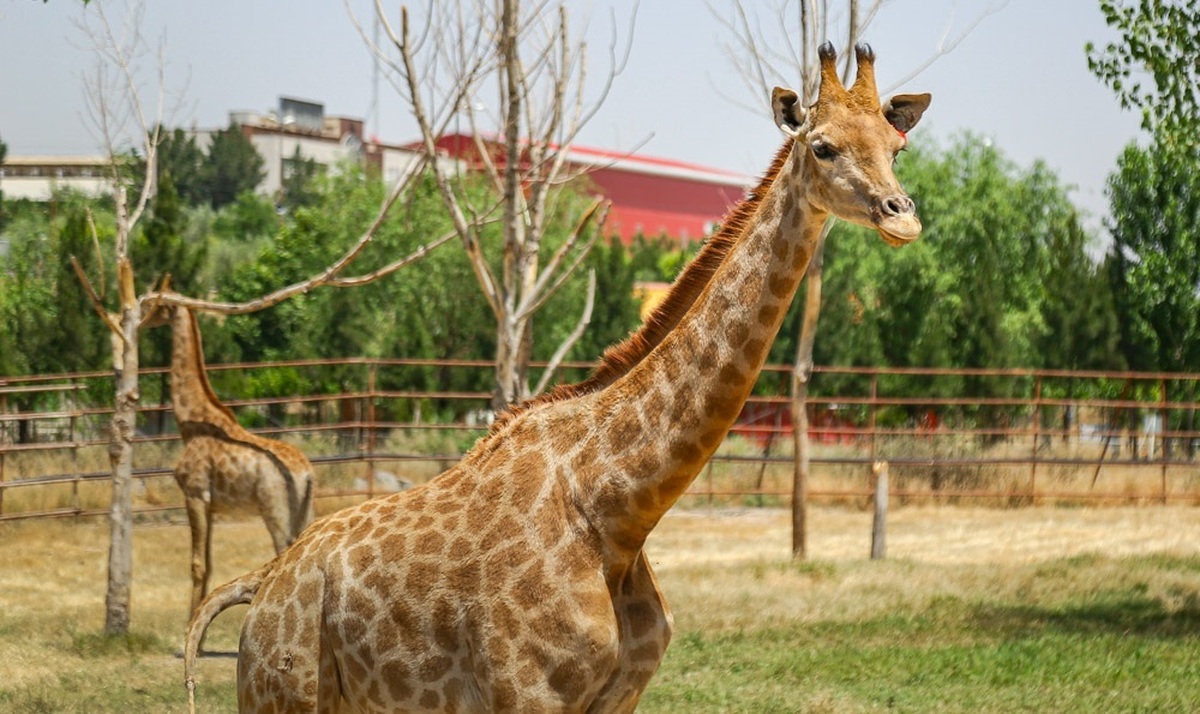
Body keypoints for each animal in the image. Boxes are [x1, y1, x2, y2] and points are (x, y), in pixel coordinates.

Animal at [148, 300, 319, 614]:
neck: (192, 425)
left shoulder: (194, 494)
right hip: (306, 510)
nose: (137, 318)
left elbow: (197, 565)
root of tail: (307, 473)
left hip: (275, 510)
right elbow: (209, 564)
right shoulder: (213, 506)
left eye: (152, 304)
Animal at [182, 42, 926, 710]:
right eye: (823, 147)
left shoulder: (617, 697)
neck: (618, 510)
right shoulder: (527, 695)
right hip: (281, 694)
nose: (903, 216)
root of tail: (263, 585)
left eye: (897, 147)